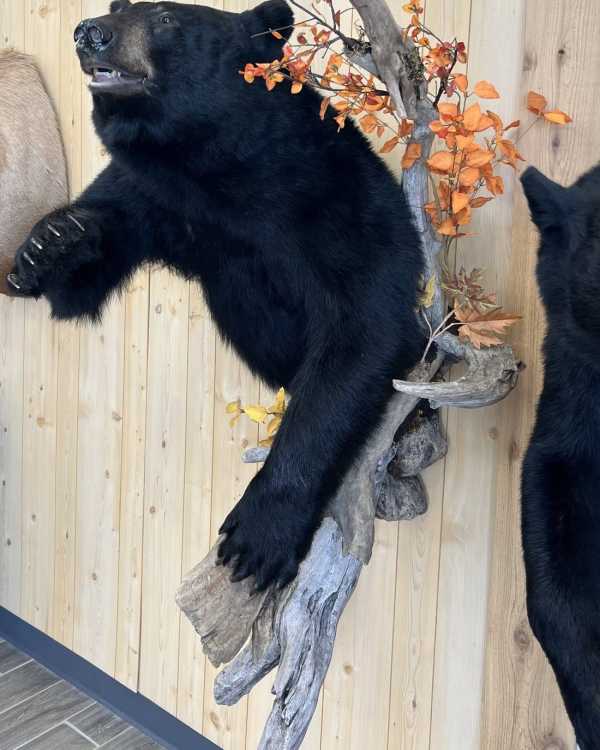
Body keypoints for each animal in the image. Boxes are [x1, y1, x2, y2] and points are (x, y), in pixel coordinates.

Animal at [7, 0, 424, 591]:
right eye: (116, 6)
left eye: (164, 18)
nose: (89, 32)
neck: (211, 168)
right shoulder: (154, 193)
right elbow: (82, 282)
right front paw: (50, 242)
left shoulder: (332, 197)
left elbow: (363, 329)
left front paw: (259, 535)